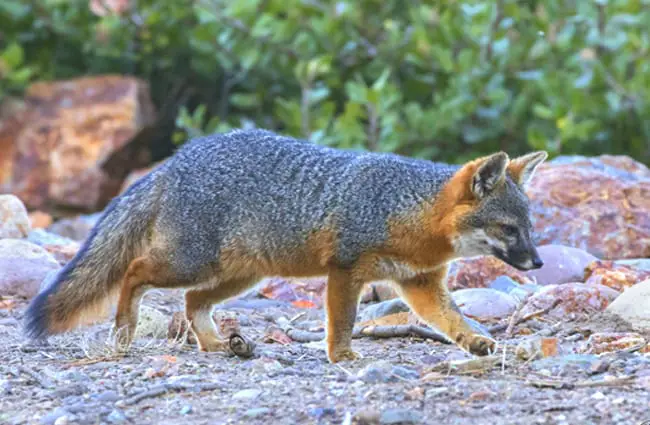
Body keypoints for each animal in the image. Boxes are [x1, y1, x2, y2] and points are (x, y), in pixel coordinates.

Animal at [22, 128, 544, 362]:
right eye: (509, 230)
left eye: (530, 227)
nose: (538, 262)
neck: (408, 210)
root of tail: (177, 158)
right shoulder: (346, 269)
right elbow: (343, 321)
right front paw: (342, 357)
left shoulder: (421, 285)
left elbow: (454, 319)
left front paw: (476, 341)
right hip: (192, 262)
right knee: (134, 272)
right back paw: (125, 331)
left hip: (239, 275)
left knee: (192, 302)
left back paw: (217, 344)